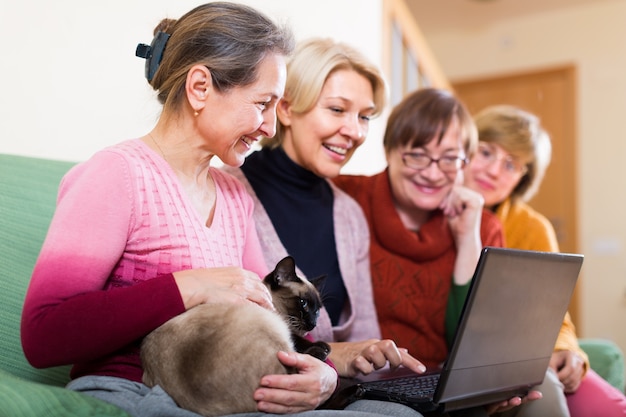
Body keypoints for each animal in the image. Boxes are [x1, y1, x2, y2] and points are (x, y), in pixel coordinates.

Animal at [140, 256, 330, 416]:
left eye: (317, 310)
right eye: (303, 303)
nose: (313, 324)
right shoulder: (283, 325)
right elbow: (298, 341)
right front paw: (324, 347)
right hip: (267, 324)